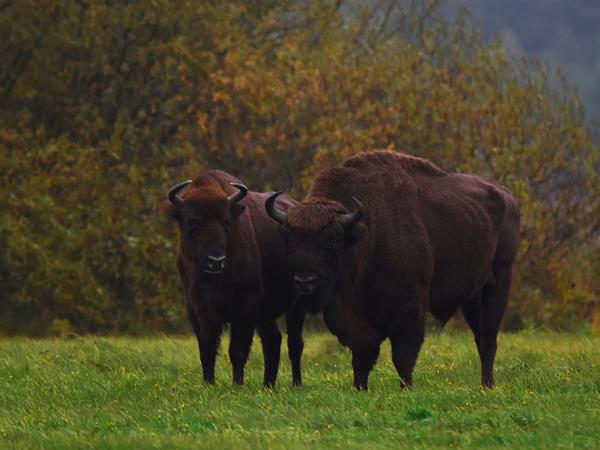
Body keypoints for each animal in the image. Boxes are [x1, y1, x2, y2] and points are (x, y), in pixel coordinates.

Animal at [164, 170, 304, 386]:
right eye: (192, 221)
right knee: (273, 340)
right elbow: (207, 348)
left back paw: (296, 384)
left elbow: (237, 349)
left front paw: (237, 385)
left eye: (227, 222)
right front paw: (209, 383)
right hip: (266, 314)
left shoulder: (245, 305)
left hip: (299, 304)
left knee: (294, 343)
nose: (215, 260)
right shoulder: (198, 307)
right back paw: (268, 385)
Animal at [268, 149, 520, 388]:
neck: (365, 234)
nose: (304, 281)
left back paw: (488, 385)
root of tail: (508, 197)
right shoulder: (356, 319)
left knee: (488, 338)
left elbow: (403, 355)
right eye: (289, 237)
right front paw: (360, 387)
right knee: (480, 336)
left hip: (499, 281)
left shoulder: (408, 309)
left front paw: (406, 387)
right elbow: (362, 356)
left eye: (331, 238)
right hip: (472, 297)